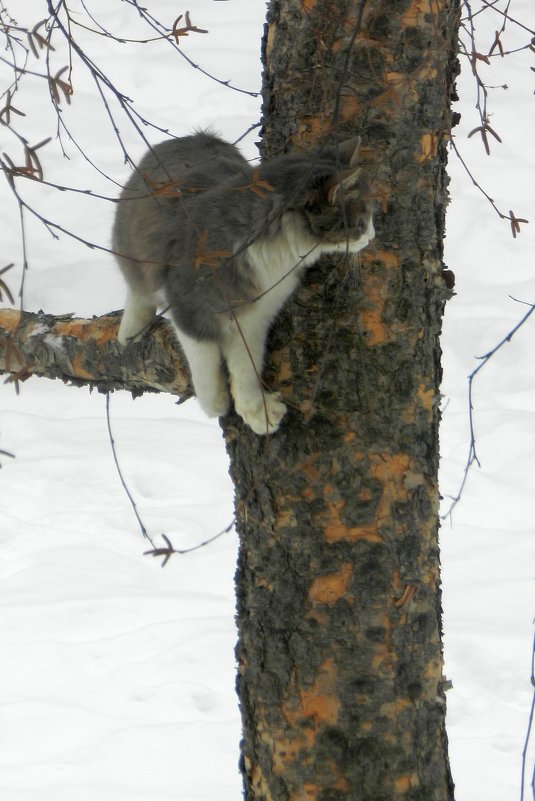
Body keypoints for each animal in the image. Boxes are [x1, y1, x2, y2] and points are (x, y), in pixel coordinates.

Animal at [112, 131, 374, 434]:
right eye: (362, 221)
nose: (372, 236)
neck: (274, 256)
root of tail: (197, 135)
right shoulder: (190, 307)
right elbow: (204, 360)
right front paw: (215, 403)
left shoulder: (256, 316)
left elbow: (247, 366)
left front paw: (257, 412)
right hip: (132, 252)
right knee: (137, 289)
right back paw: (131, 329)